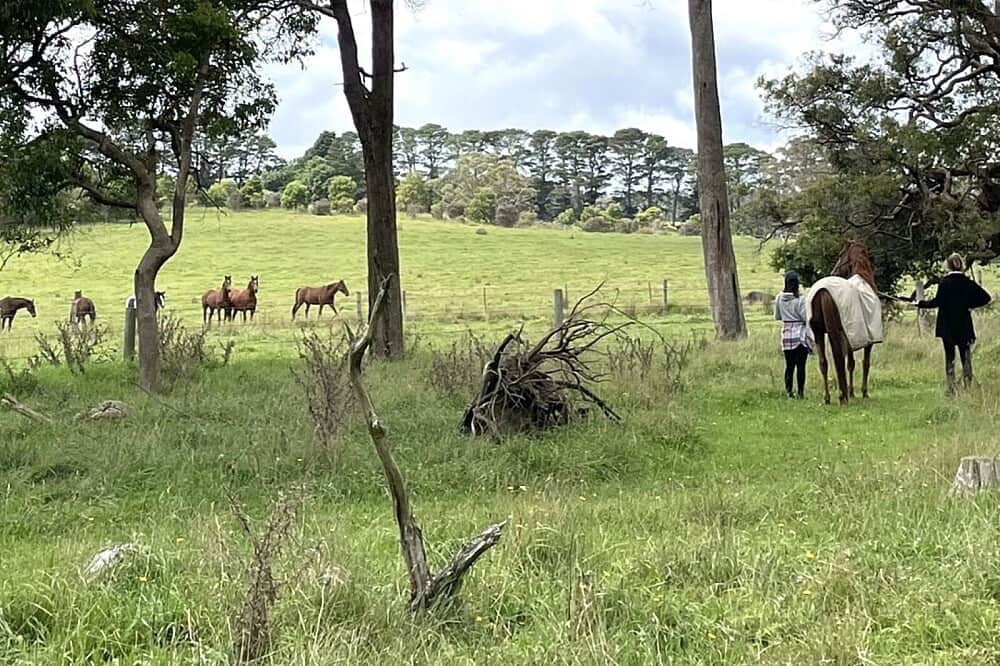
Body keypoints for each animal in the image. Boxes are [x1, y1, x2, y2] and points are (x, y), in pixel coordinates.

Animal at [807, 241, 879, 405]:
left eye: (840, 254)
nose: (834, 270)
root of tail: (822, 291)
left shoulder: (850, 336)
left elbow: (850, 364)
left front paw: (852, 392)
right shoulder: (868, 340)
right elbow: (865, 363)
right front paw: (863, 392)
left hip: (818, 332)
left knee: (824, 363)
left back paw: (828, 398)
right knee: (837, 359)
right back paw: (842, 396)